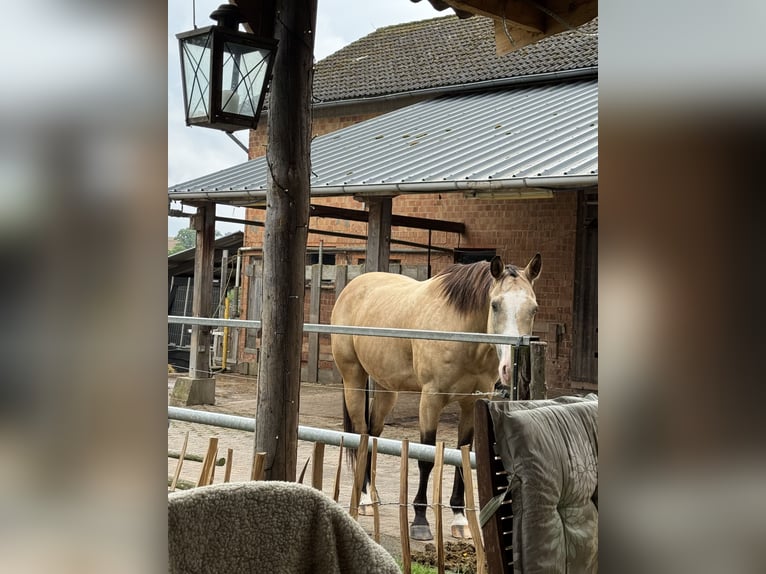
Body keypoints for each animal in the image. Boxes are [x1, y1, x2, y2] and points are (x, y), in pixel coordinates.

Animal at [330, 253, 541, 541]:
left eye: (533, 309)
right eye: (495, 305)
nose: (508, 369)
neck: (461, 333)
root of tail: (352, 287)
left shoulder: (470, 403)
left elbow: (462, 457)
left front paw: (460, 520)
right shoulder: (430, 399)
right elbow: (426, 457)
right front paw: (420, 521)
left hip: (387, 389)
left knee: (373, 434)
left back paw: (373, 496)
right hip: (354, 379)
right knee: (361, 435)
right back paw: (363, 500)